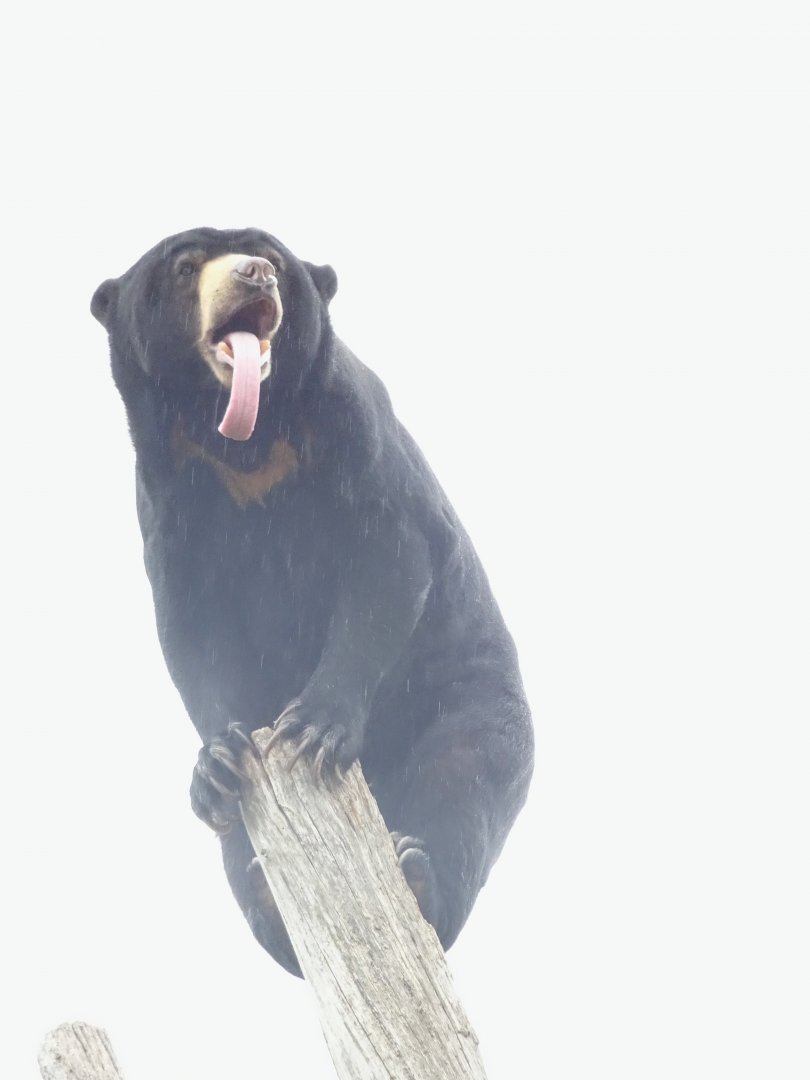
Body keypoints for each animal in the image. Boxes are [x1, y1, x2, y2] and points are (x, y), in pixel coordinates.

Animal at [91, 227, 534, 977]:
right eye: (186, 267)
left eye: (272, 258)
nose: (254, 275)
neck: (244, 445)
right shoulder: (167, 498)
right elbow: (189, 630)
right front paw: (218, 760)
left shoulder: (354, 434)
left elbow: (387, 563)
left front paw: (312, 730)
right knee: (236, 849)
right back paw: (266, 896)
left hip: (475, 703)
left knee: (465, 781)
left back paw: (419, 876)